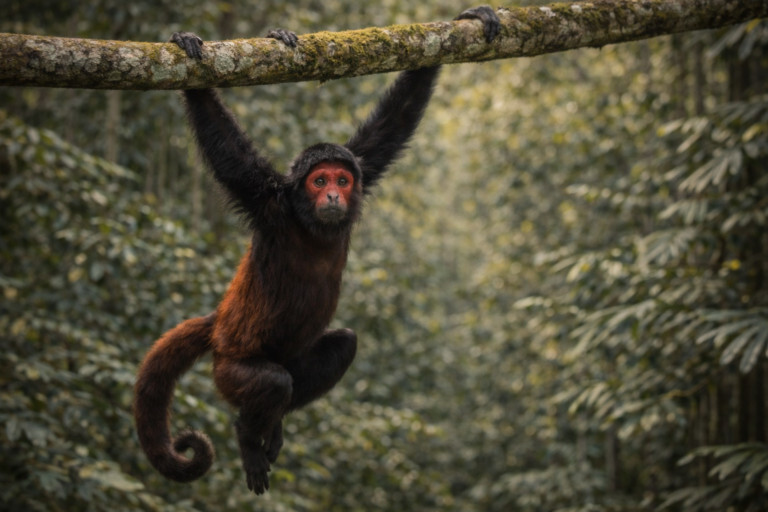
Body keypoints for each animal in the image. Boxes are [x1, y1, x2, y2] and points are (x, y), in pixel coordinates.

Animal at [133, 6, 500, 495]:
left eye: (341, 180)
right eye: (318, 180)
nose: (331, 196)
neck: (307, 224)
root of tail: (218, 324)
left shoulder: (361, 165)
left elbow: (394, 123)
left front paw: (468, 18)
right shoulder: (268, 202)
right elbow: (228, 151)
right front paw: (190, 53)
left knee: (340, 346)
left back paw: (275, 427)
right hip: (229, 368)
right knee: (272, 381)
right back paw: (247, 434)